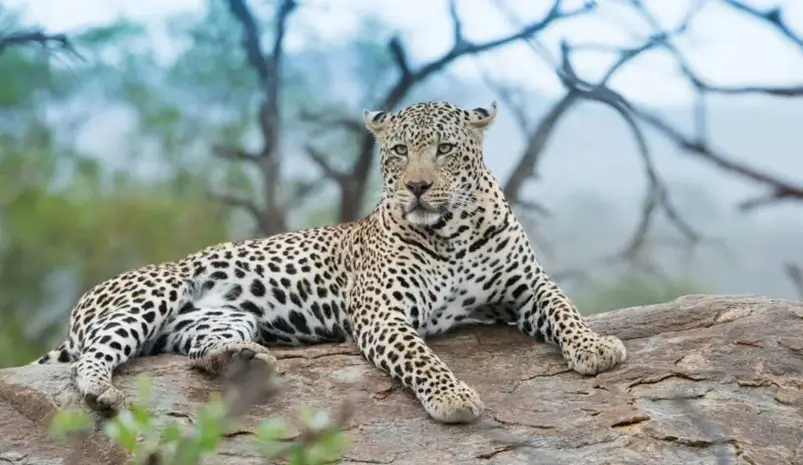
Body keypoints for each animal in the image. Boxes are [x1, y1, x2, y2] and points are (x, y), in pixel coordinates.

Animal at [33, 100, 627, 424]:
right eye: (397, 151)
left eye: (444, 149)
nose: (416, 187)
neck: (453, 232)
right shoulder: (383, 314)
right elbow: (421, 356)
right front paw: (452, 396)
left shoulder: (527, 287)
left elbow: (565, 308)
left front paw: (596, 347)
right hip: (153, 293)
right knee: (92, 358)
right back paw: (104, 391)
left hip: (217, 319)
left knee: (199, 353)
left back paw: (242, 362)